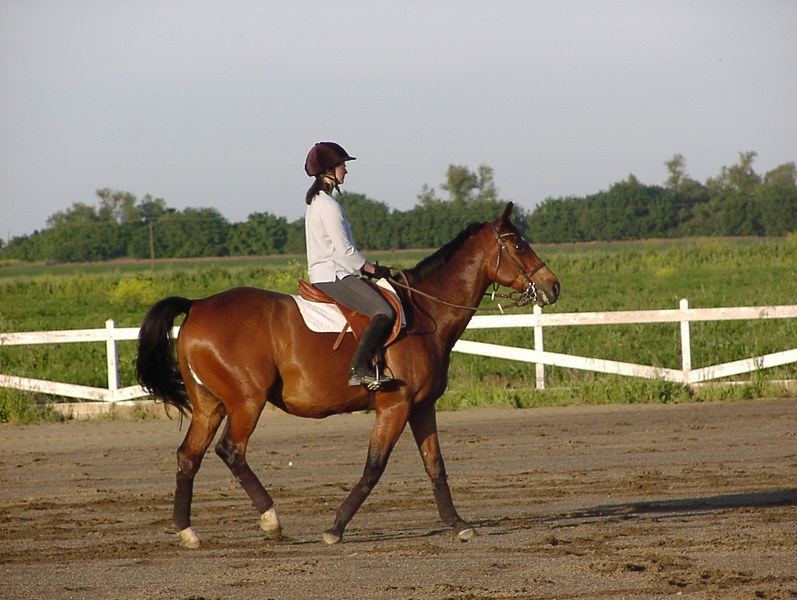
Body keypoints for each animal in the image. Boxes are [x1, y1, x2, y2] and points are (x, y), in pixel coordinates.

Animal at [135, 202, 560, 547]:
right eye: (518, 246)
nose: (553, 287)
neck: (427, 314)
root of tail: (197, 305)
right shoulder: (395, 405)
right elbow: (374, 466)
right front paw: (335, 528)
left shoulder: (422, 406)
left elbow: (435, 465)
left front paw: (458, 523)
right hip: (246, 402)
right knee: (231, 451)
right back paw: (271, 521)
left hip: (210, 404)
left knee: (188, 456)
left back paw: (188, 532)